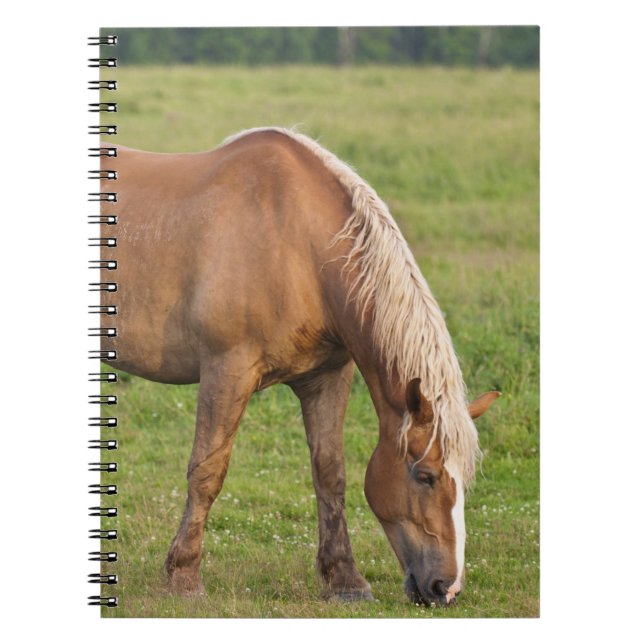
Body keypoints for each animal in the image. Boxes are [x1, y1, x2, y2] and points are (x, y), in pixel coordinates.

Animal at [100, 127, 500, 606]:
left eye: (466, 479)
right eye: (426, 476)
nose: (446, 587)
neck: (298, 246)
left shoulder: (326, 378)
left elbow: (331, 474)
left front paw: (345, 580)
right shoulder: (226, 371)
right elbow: (207, 472)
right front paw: (184, 576)